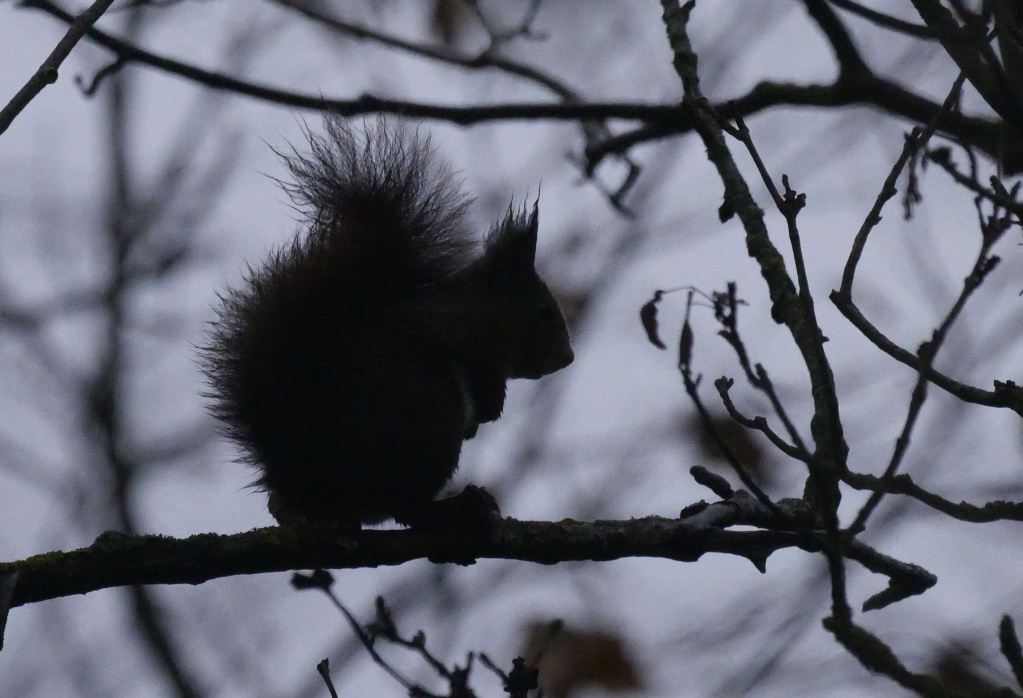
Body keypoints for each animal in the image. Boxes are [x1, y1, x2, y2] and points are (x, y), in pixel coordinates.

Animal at [201, 116, 576, 524]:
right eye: (545, 312)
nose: (568, 358)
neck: (479, 308)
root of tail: (324, 482)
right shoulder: (464, 339)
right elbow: (482, 380)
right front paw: (491, 409)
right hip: (430, 413)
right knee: (408, 507)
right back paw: (462, 505)